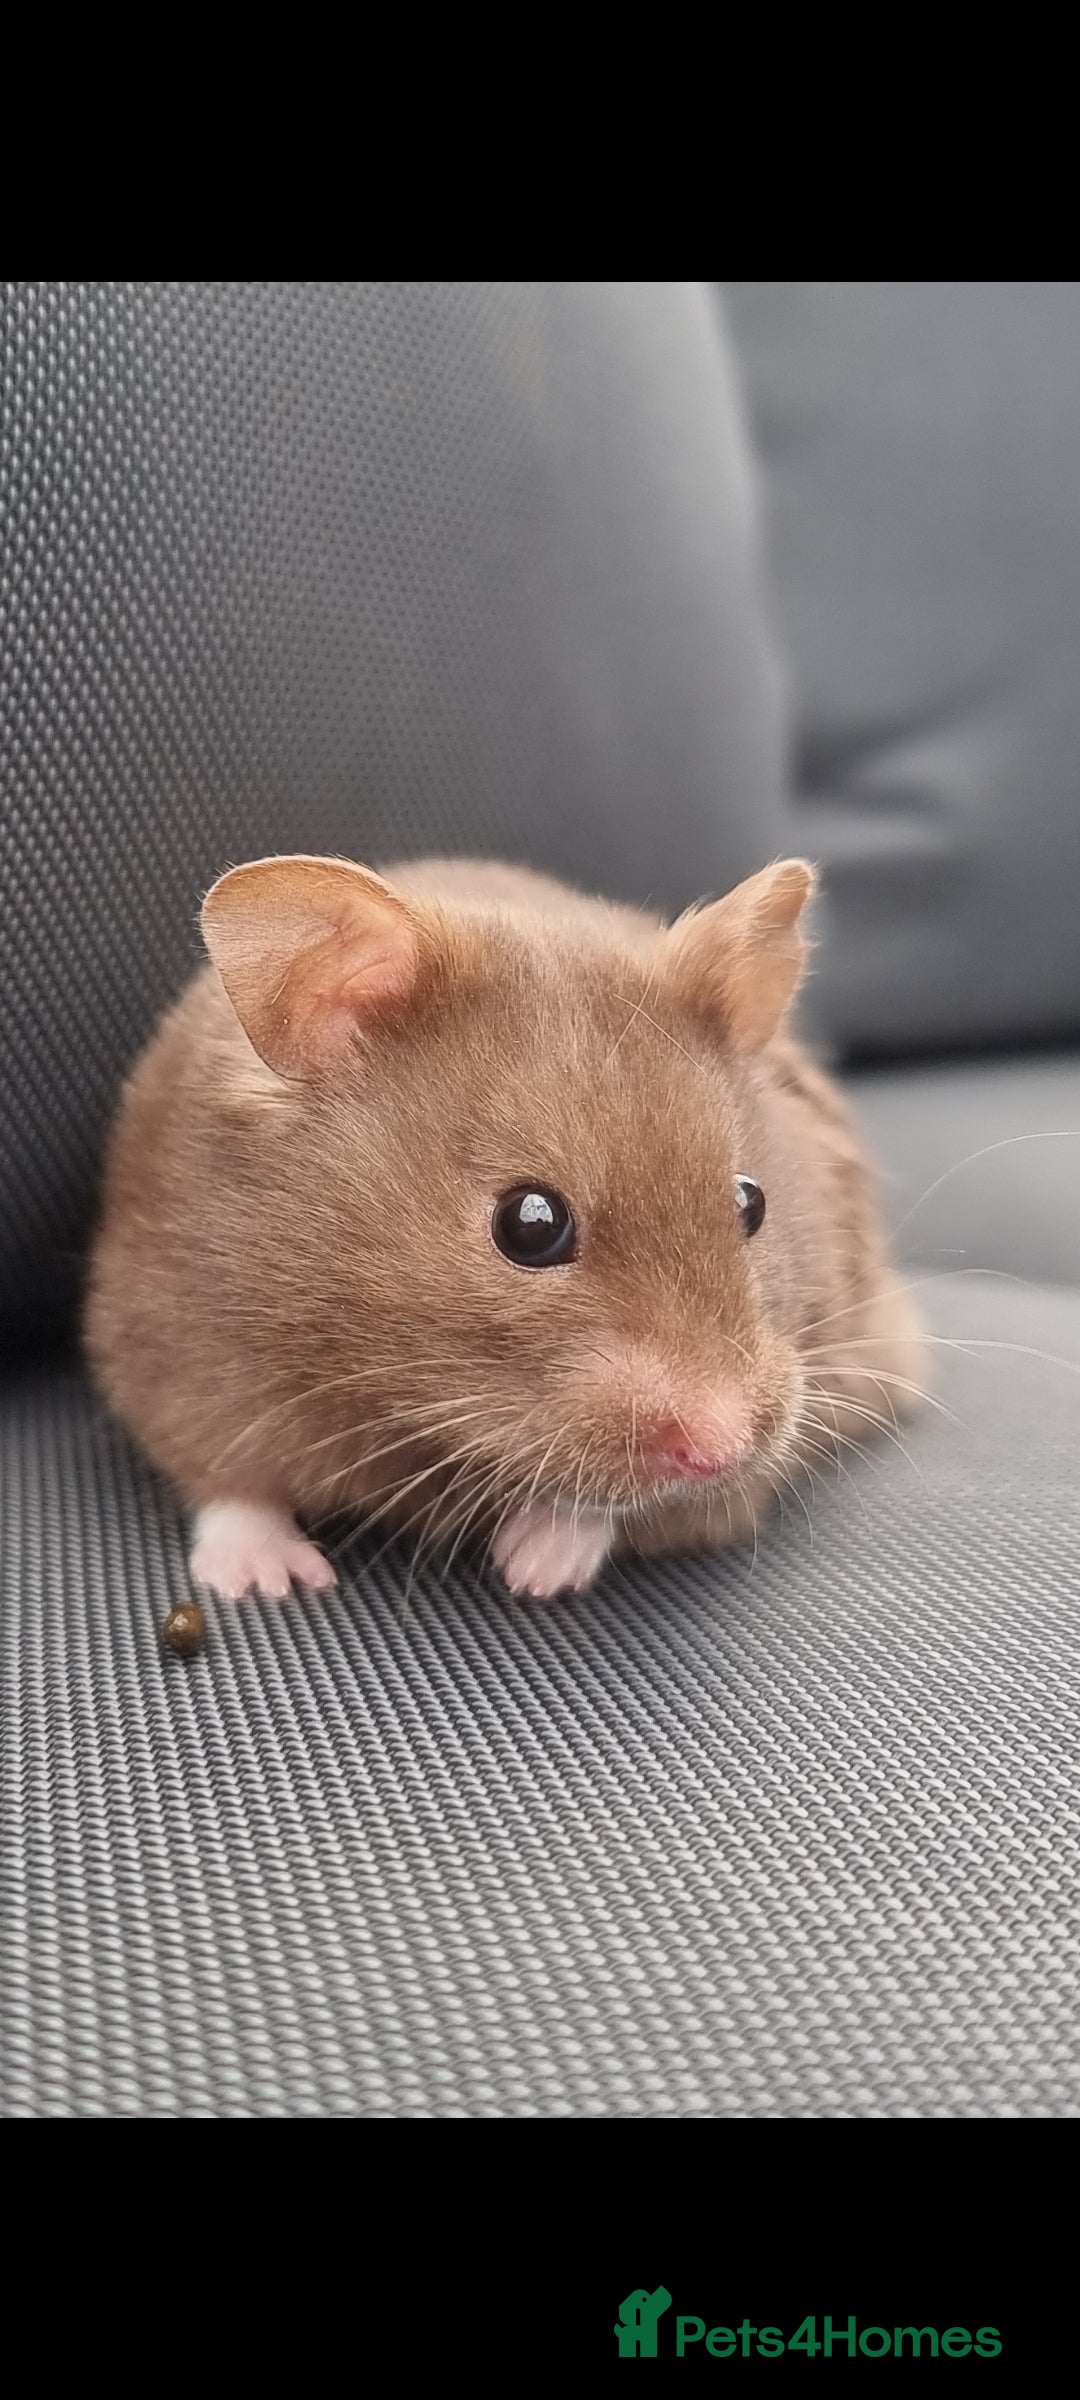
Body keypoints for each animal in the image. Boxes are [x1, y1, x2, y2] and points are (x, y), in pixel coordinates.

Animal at [84, 852, 925, 1602]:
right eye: (530, 1223)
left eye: (751, 1202)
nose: (722, 1450)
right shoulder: (172, 1345)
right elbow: (229, 1483)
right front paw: (270, 1584)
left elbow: (623, 1508)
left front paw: (535, 1567)